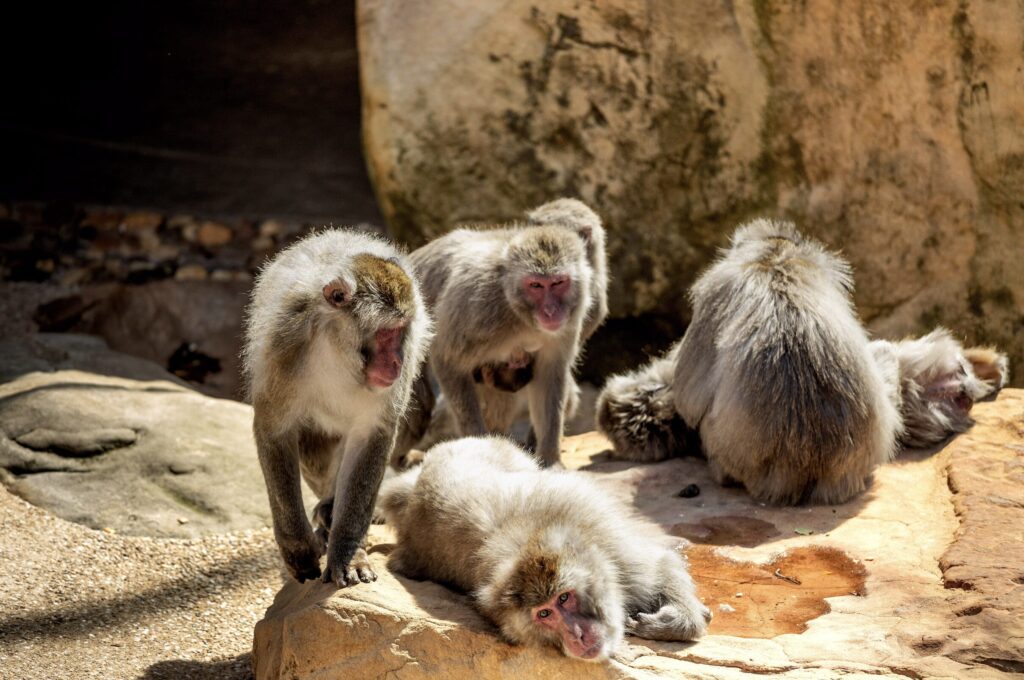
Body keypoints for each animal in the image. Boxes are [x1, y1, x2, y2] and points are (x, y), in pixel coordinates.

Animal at [242, 229, 430, 586]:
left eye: (402, 331)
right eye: (387, 333)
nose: (398, 362)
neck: (335, 350)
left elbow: (372, 438)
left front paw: (348, 551)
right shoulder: (284, 347)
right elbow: (274, 429)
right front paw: (298, 549)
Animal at [376, 436, 711, 660]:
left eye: (564, 598)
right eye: (544, 614)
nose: (577, 635)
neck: (530, 540)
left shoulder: (609, 544)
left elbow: (661, 564)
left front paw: (679, 620)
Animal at [396, 199, 604, 467]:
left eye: (558, 283)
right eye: (536, 285)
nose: (550, 311)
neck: (519, 314)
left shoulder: (570, 320)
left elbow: (550, 375)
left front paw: (550, 459)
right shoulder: (478, 309)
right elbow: (447, 359)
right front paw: (476, 446)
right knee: (416, 404)